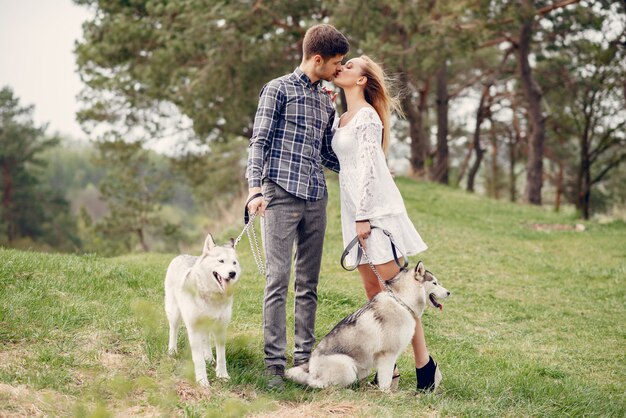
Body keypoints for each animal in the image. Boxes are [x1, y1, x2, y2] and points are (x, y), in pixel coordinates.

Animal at [163, 233, 241, 386]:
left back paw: (209, 358)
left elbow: (222, 357)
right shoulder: (193, 329)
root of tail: (180, 255)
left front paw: (222, 376)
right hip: (175, 314)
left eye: (234, 263)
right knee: (173, 331)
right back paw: (172, 351)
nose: (232, 273)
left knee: (206, 340)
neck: (212, 296)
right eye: (221, 261)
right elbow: (198, 361)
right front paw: (202, 381)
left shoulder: (221, 328)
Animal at [286, 262, 446, 390]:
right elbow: (386, 380)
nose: (449, 292)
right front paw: (386, 396)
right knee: (320, 385)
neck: (402, 301)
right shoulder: (387, 355)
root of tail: (310, 368)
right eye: (435, 283)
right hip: (347, 368)